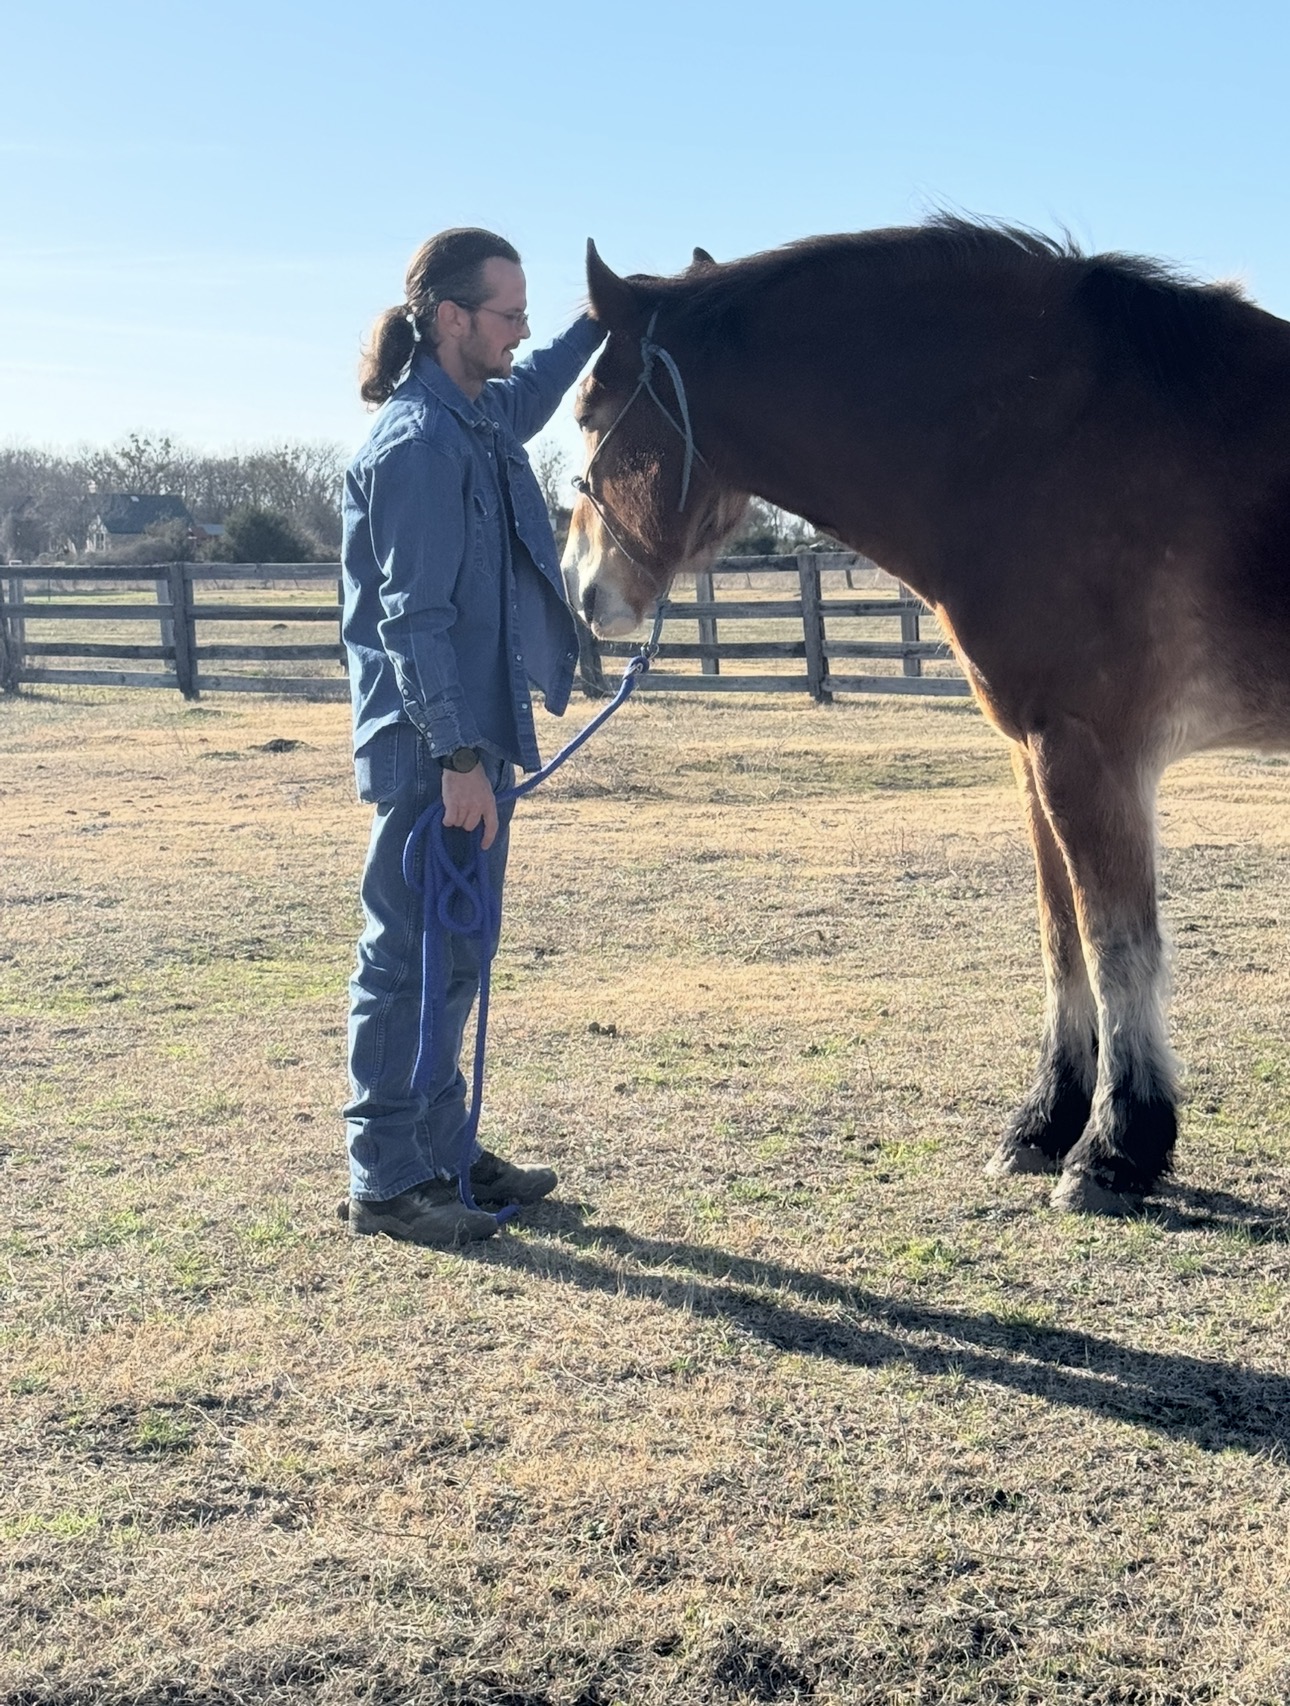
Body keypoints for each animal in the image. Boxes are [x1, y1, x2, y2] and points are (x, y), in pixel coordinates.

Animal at [560, 217, 1290, 1216]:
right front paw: (1044, 1125)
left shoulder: (1090, 753)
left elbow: (1116, 943)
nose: (579, 589)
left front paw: (1114, 1151)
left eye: (589, 411)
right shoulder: (1035, 755)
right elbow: (1061, 936)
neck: (1050, 433)